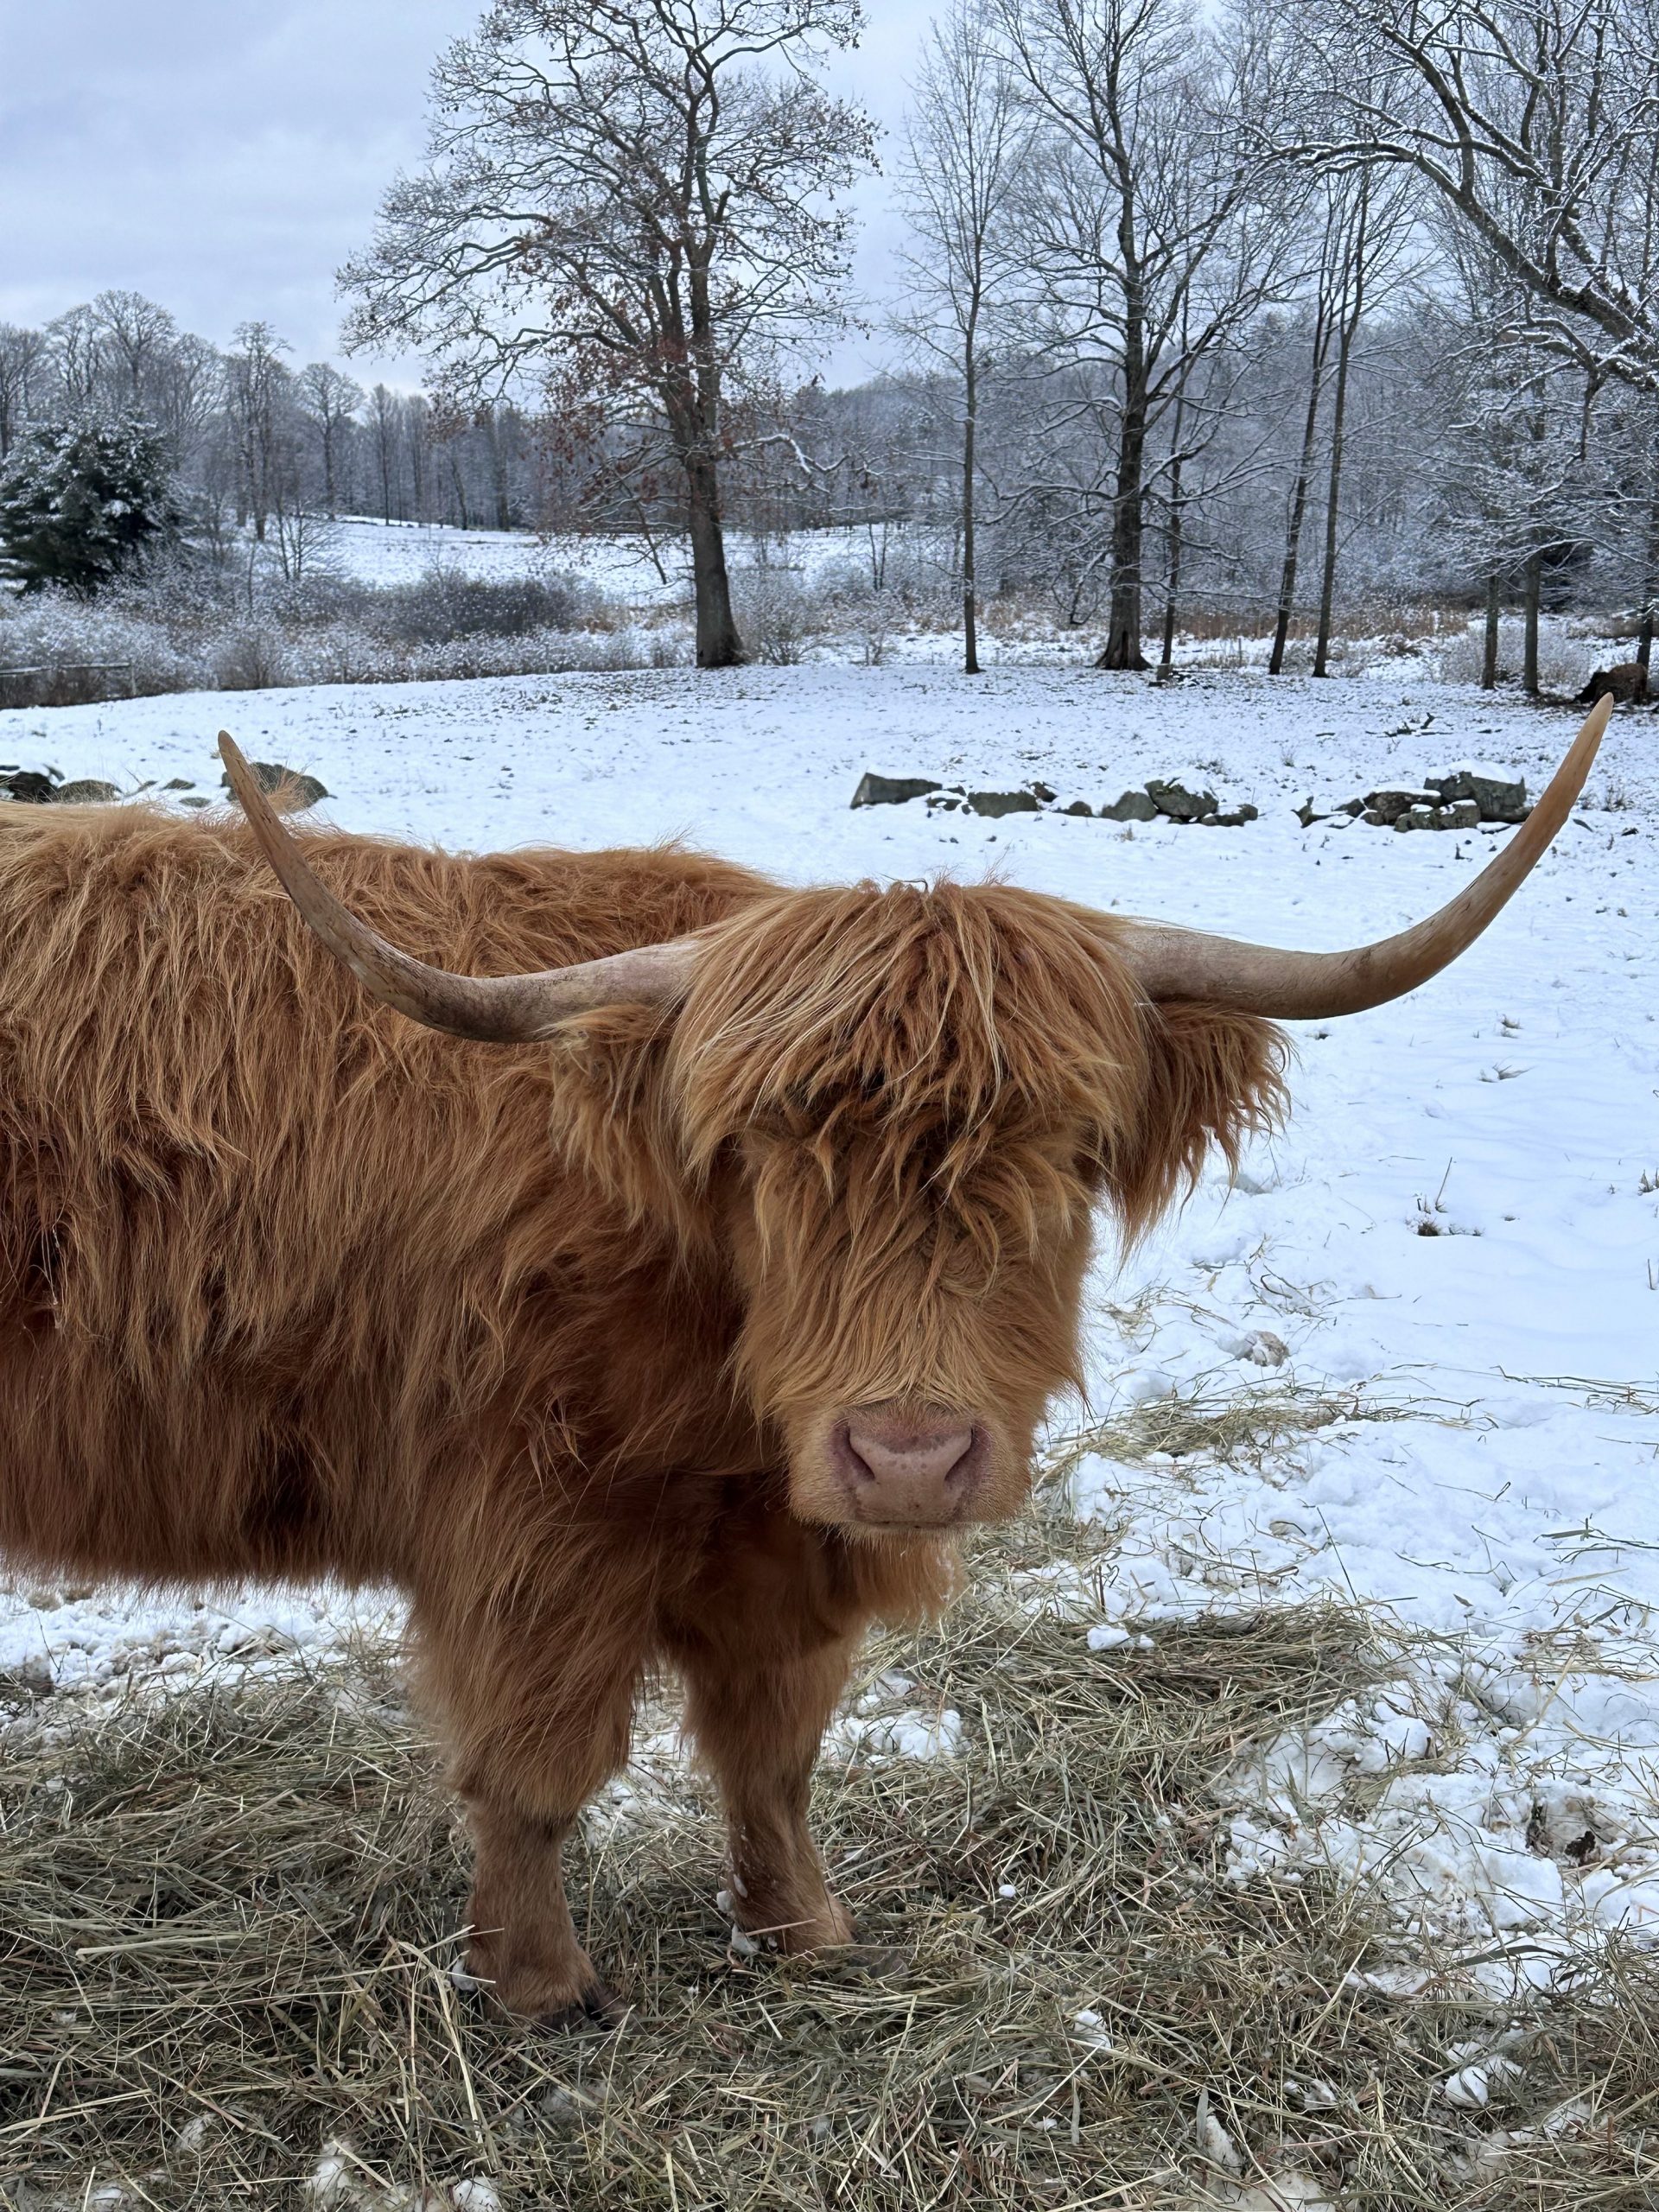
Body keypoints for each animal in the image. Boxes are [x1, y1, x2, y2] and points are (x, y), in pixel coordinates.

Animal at [0, 708, 1610, 2025]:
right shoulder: (527, 1529)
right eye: (767, 1162)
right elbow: (538, 1769)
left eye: (1067, 1157)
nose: (908, 1455)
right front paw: (538, 1984)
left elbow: (772, 1751)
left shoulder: (779, 1546)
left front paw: (806, 1933)